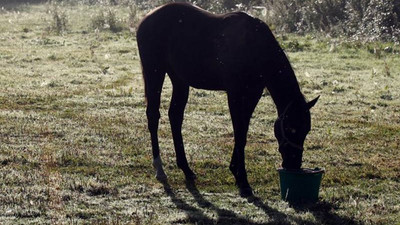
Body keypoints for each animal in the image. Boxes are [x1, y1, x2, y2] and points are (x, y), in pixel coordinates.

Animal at [138, 3, 318, 197]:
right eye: (291, 129)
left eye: (306, 130)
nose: (293, 164)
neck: (255, 46)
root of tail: (147, 18)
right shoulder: (235, 94)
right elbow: (239, 134)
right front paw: (243, 180)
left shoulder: (252, 94)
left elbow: (243, 133)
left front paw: (237, 173)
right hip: (154, 71)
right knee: (153, 116)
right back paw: (160, 170)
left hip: (179, 80)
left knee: (175, 116)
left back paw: (186, 169)